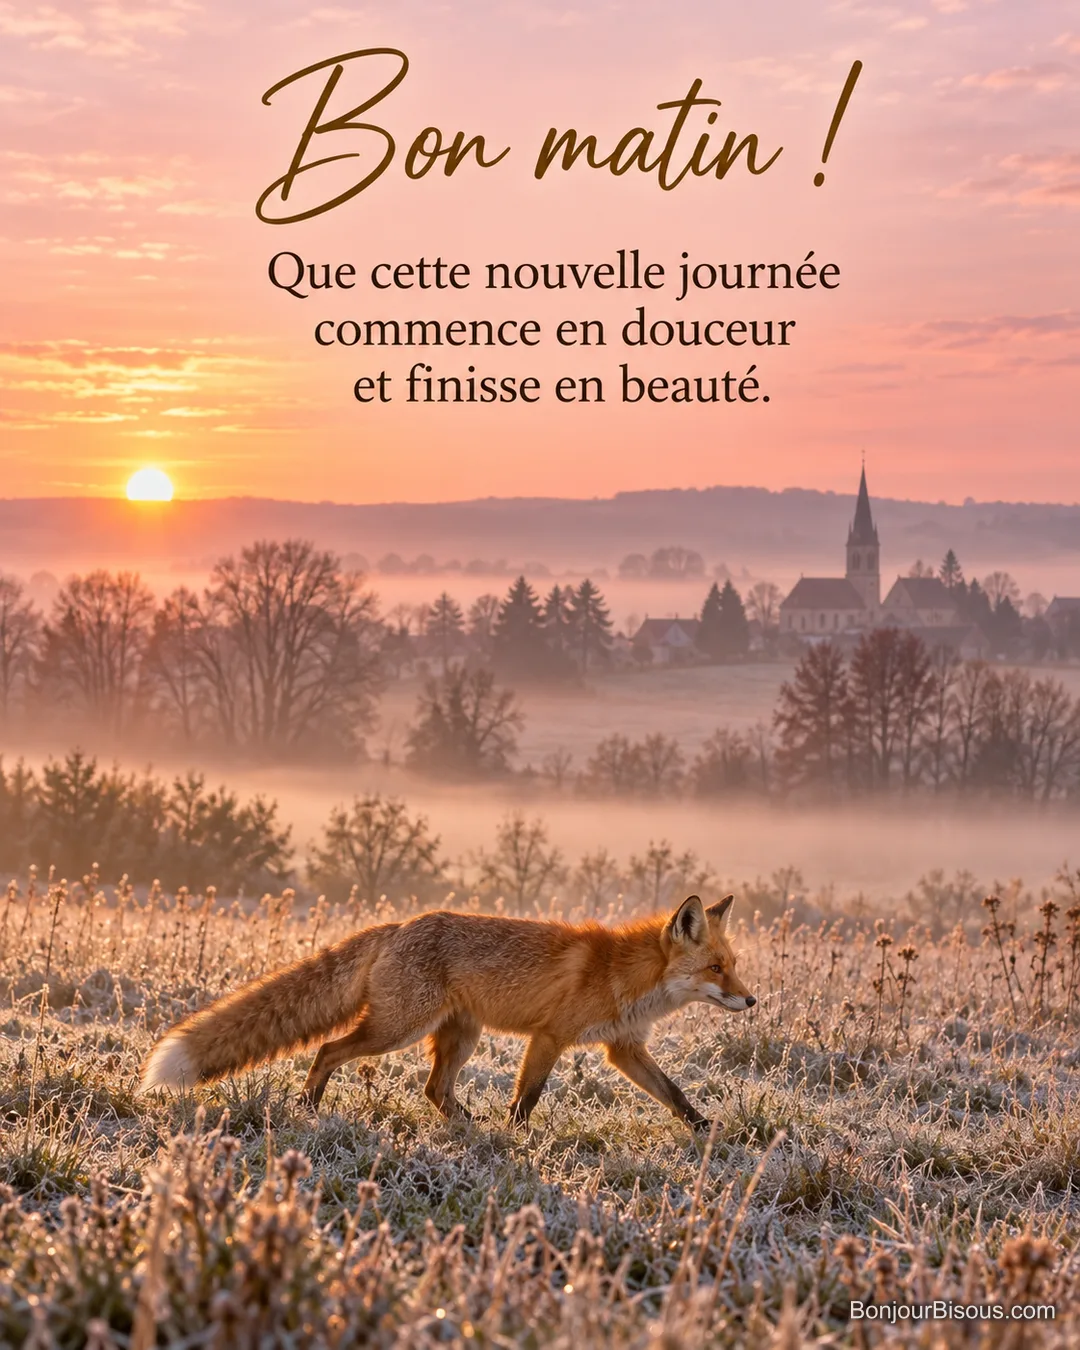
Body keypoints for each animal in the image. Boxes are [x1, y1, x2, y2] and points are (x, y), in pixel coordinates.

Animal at [140, 893, 755, 1131]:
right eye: (715, 969)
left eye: (733, 965)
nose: (752, 1000)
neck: (626, 976)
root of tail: (397, 926)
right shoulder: (550, 1037)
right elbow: (527, 1098)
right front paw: (515, 1140)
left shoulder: (623, 1048)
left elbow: (675, 1094)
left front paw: (706, 1132)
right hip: (398, 1030)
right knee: (330, 1049)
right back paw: (309, 1104)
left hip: (461, 1036)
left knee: (434, 1090)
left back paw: (465, 1125)